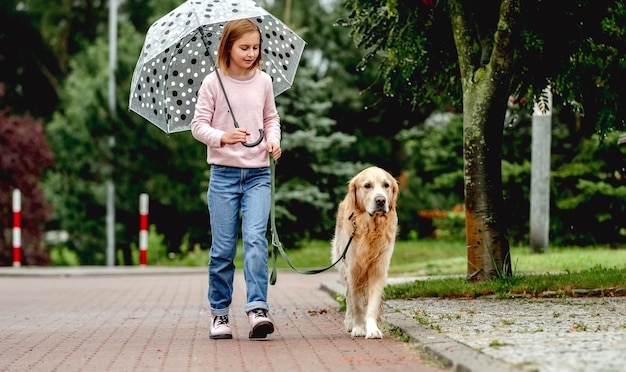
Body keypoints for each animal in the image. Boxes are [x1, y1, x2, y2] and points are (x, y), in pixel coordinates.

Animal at [330, 167, 398, 338]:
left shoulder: (378, 270)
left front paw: (373, 329)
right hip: (343, 264)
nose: (381, 200)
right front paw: (358, 328)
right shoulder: (353, 270)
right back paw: (349, 322)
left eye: (386, 185)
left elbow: (372, 304)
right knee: (348, 296)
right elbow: (357, 304)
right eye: (367, 186)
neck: (371, 228)